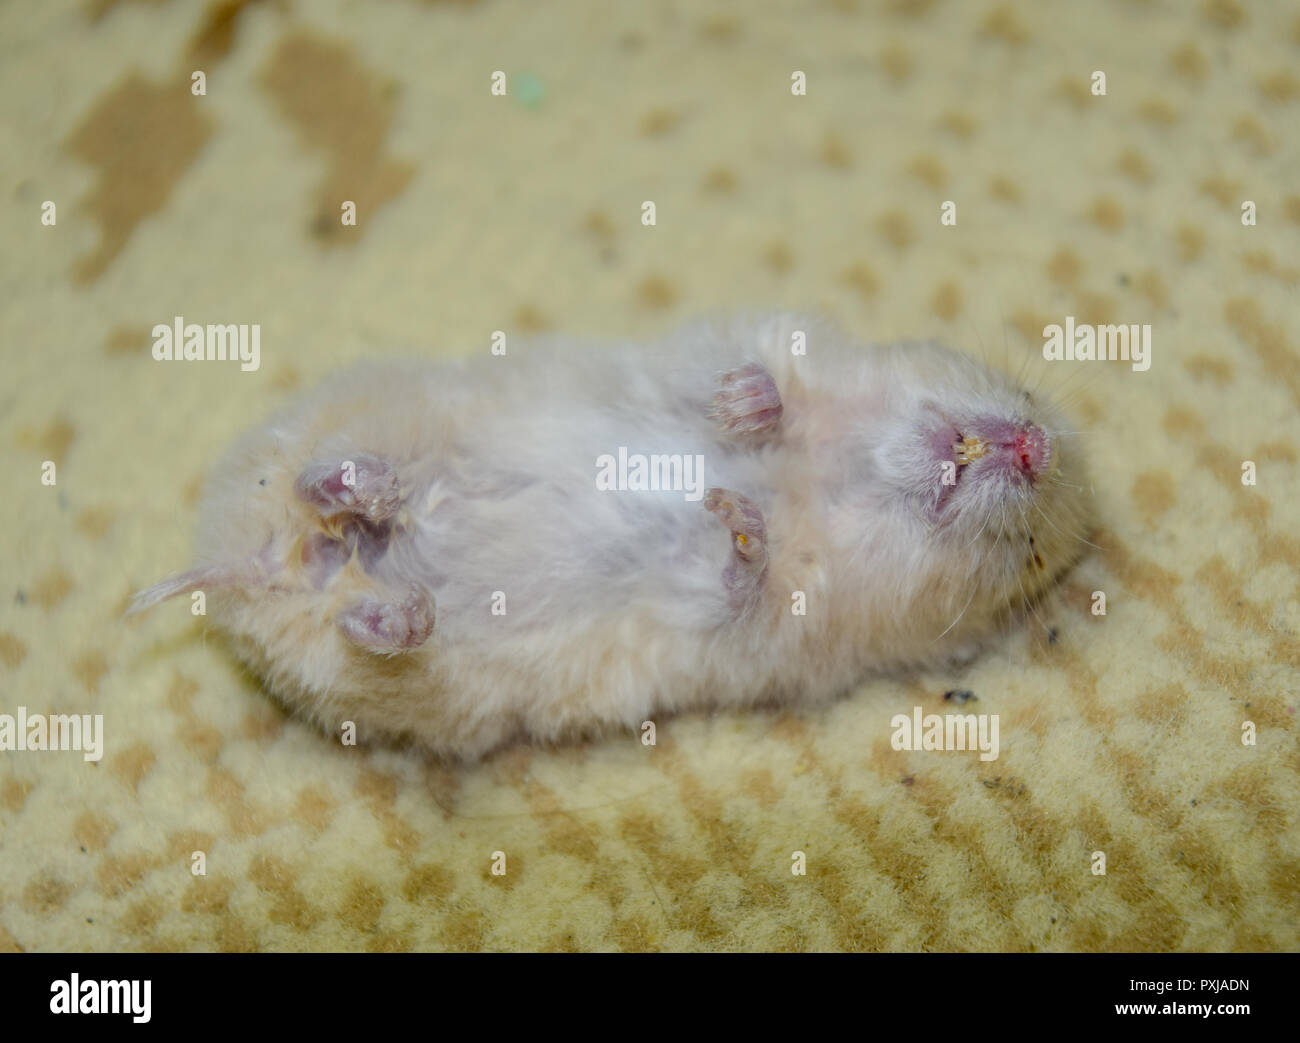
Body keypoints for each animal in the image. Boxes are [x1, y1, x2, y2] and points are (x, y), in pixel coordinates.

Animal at [130, 314, 1093, 760]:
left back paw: (392, 596)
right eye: (1028, 394)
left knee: (368, 629)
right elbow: (735, 385)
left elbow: (739, 585)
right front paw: (749, 410)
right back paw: (366, 490)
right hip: (326, 428)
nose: (1032, 446)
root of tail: (252, 569)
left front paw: (740, 527)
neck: (843, 474)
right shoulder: (731, 342)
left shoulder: (769, 638)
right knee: (308, 479)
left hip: (388, 682)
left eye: (1031, 557)